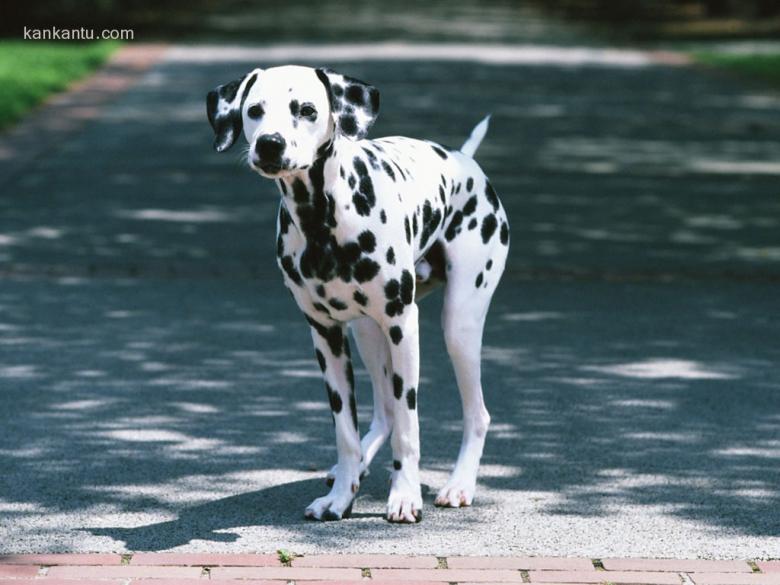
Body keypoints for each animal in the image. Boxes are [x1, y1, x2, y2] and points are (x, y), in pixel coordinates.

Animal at [207, 66, 508, 524]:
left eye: (307, 109)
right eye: (253, 110)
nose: (269, 144)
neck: (322, 221)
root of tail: (464, 160)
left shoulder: (403, 327)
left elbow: (409, 426)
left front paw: (405, 496)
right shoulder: (326, 336)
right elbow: (346, 430)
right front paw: (341, 496)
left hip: (459, 327)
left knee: (475, 413)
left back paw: (459, 485)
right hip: (369, 336)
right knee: (383, 412)